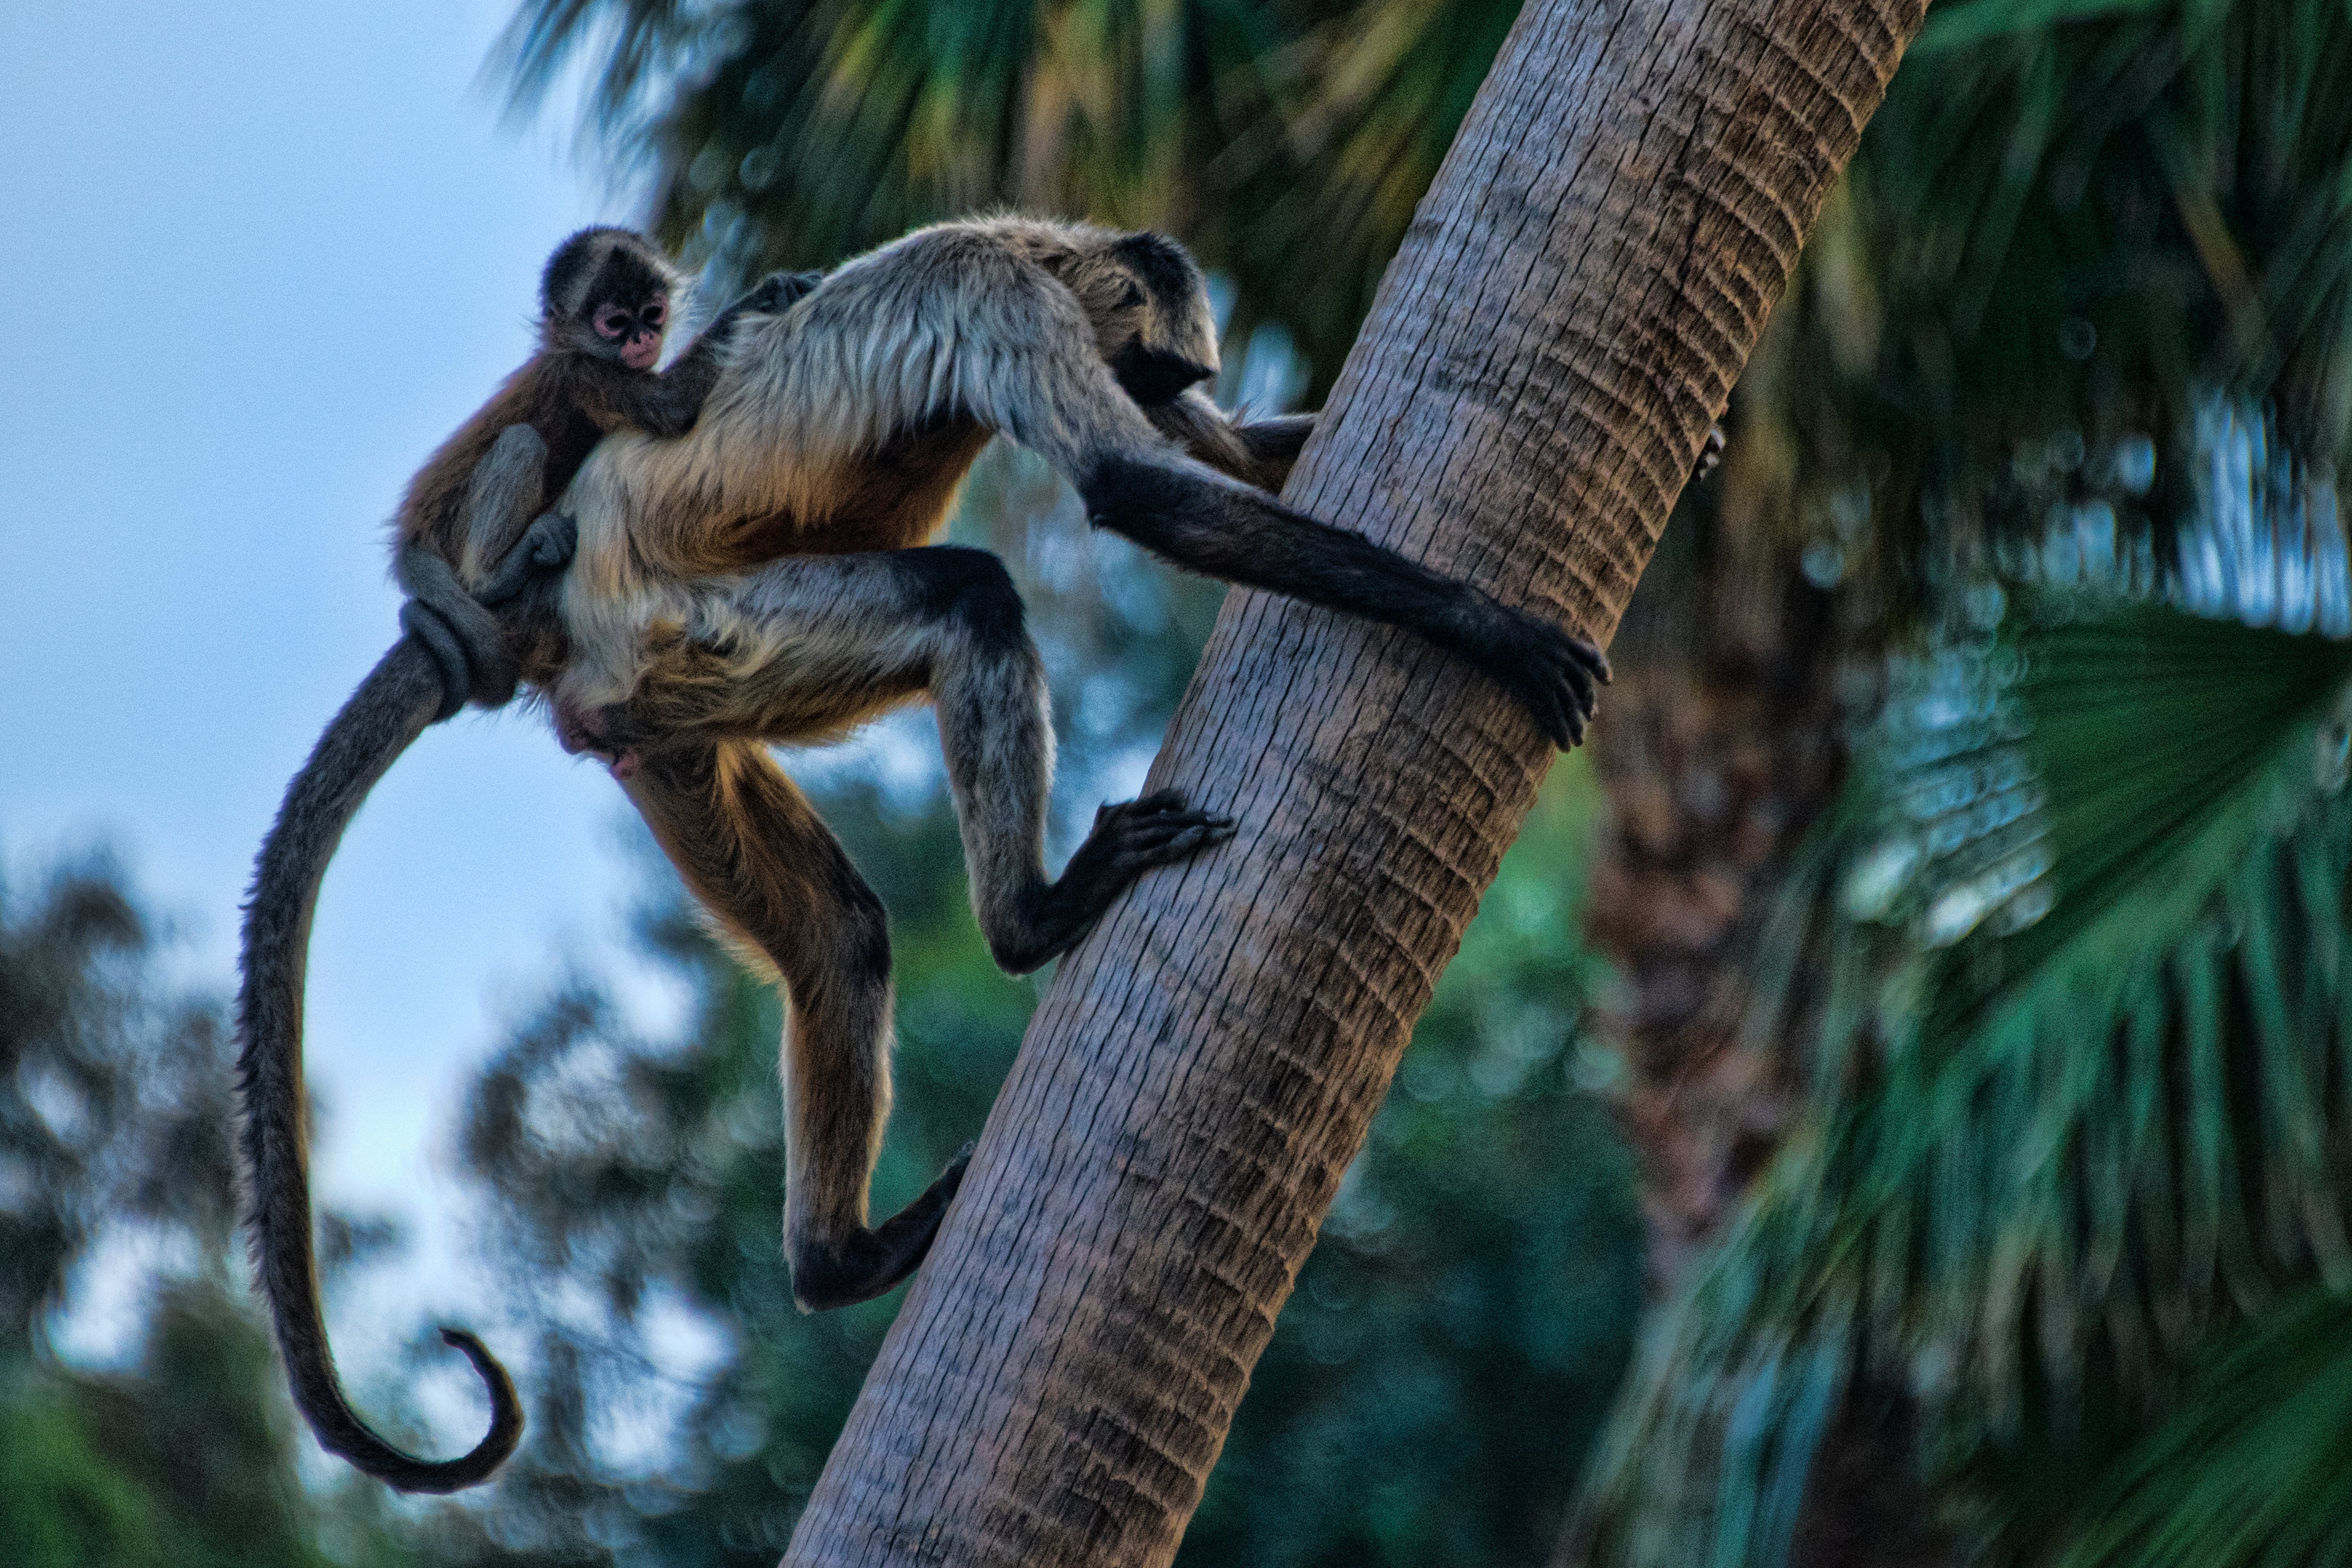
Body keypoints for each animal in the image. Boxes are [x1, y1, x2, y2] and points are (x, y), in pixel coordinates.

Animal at [236, 223, 809, 1495]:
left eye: (646, 310)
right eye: (612, 324)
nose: (640, 336)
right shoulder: (587, 384)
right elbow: (672, 407)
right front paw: (764, 298)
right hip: (470, 524)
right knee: (516, 446)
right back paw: (505, 573)